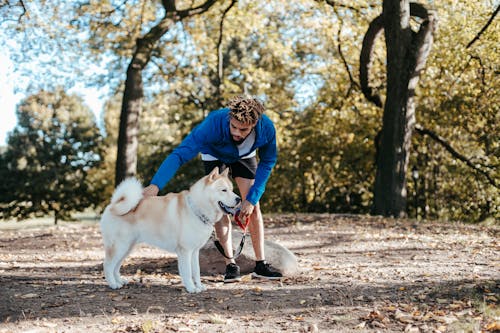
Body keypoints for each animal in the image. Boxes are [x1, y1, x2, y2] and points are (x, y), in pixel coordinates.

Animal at [99, 167, 240, 292]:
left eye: (232, 190)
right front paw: (191, 288)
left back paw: (119, 281)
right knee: (108, 265)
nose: (238, 199)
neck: (196, 209)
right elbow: (187, 272)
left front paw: (199, 287)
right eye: (224, 190)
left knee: (116, 267)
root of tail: (113, 204)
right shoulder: (185, 251)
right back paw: (113, 284)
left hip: (127, 248)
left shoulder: (194, 251)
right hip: (120, 246)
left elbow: (196, 271)